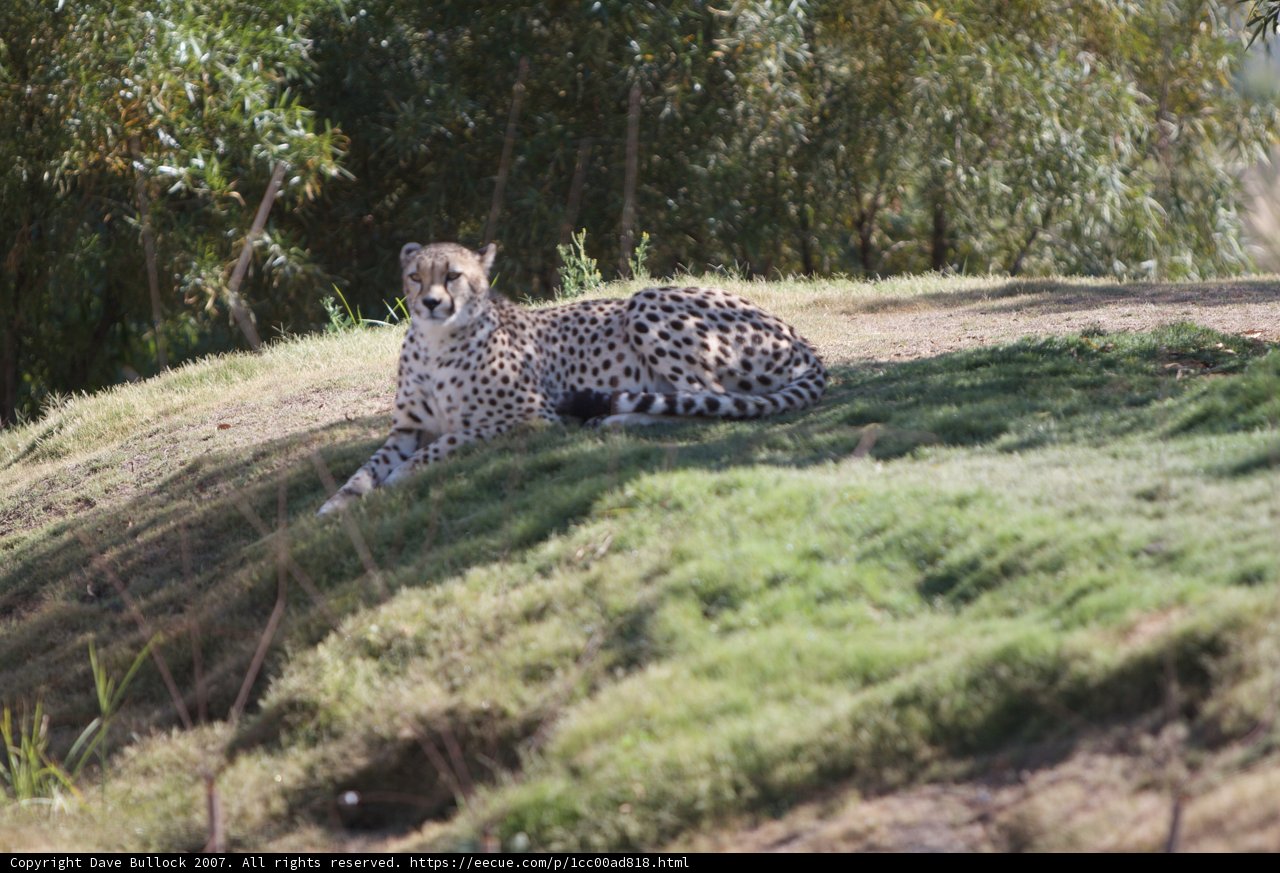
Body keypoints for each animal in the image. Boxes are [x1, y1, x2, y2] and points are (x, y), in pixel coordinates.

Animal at [317, 241, 826, 515]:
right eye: (415, 276)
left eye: (454, 275)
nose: (430, 303)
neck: (437, 341)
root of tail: (797, 335)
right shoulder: (406, 428)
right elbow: (366, 467)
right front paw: (338, 503)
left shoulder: (529, 415)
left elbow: (448, 443)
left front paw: (402, 476)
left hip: (646, 300)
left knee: (709, 400)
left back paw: (615, 419)